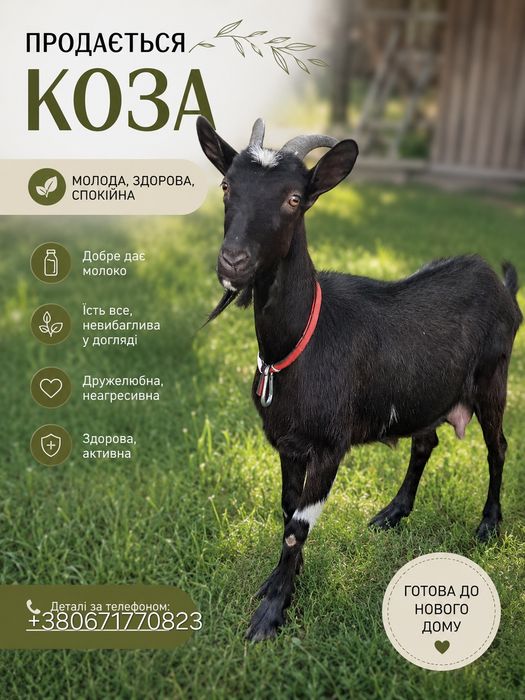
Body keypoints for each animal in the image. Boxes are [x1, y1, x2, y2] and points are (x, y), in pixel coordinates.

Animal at [196, 116, 523, 642]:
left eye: (294, 198)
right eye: (227, 186)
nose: (233, 262)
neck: (300, 340)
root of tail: (500, 282)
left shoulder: (331, 444)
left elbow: (298, 526)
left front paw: (270, 614)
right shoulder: (288, 443)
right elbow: (286, 509)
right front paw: (282, 583)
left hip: (493, 378)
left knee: (499, 447)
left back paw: (489, 525)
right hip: (426, 392)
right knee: (425, 443)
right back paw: (393, 512)